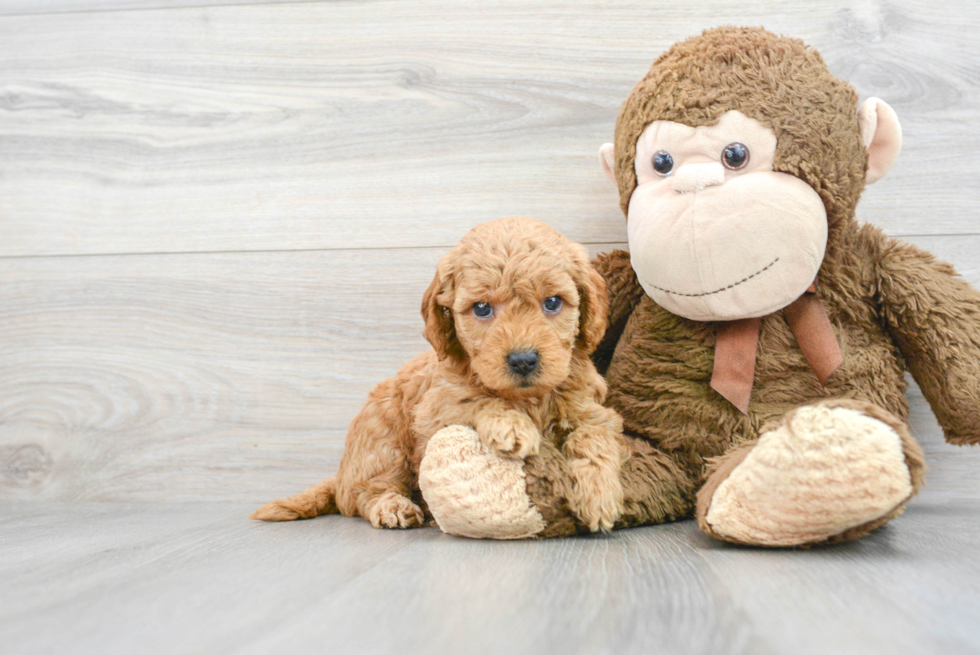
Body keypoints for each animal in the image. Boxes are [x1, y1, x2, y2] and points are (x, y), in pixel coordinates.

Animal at [253, 218, 628, 536]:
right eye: (481, 308)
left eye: (552, 302)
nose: (523, 361)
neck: (527, 398)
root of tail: (342, 473)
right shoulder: (435, 409)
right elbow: (476, 398)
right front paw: (510, 425)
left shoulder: (593, 410)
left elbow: (593, 437)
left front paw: (599, 497)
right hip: (382, 439)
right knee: (365, 492)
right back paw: (395, 507)